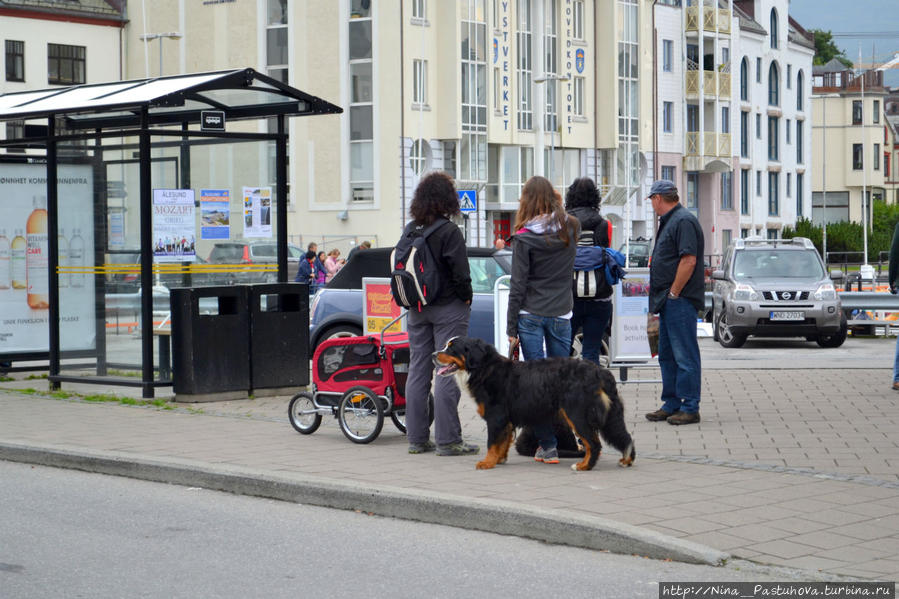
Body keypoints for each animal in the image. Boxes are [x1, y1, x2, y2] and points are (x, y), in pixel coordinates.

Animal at [432, 338, 636, 474]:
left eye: (451, 348)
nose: (433, 354)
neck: (483, 369)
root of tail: (600, 371)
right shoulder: (505, 420)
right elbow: (503, 442)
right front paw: (499, 459)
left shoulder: (496, 417)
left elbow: (492, 442)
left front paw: (487, 462)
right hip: (608, 416)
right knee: (624, 436)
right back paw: (625, 460)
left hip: (576, 415)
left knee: (594, 443)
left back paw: (584, 465)